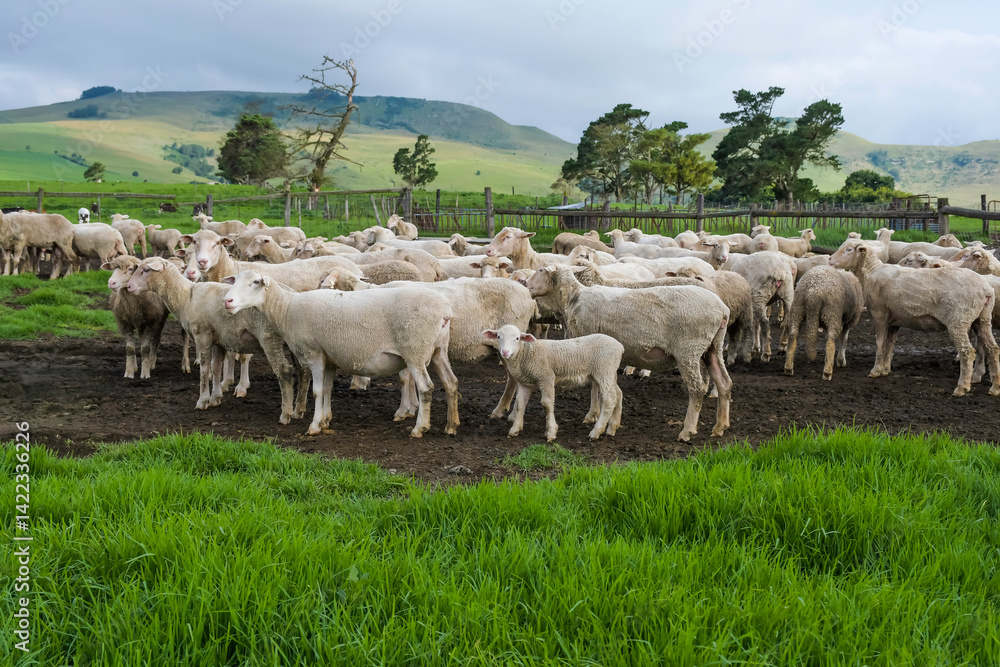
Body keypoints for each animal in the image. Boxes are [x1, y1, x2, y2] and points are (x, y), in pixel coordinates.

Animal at [126, 258, 308, 421]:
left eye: (146, 270)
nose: (128, 287)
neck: (186, 296)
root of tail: (292, 297)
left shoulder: (202, 335)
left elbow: (204, 370)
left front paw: (202, 401)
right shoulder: (217, 340)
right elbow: (216, 368)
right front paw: (216, 397)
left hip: (269, 338)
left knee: (284, 371)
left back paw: (286, 414)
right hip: (294, 342)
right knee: (304, 371)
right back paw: (299, 409)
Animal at [222, 269, 459, 437]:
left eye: (255, 282)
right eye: (234, 281)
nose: (227, 301)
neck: (286, 309)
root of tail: (445, 310)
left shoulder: (315, 355)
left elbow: (317, 391)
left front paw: (314, 426)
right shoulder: (329, 358)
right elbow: (327, 390)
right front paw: (325, 420)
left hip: (415, 351)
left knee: (426, 388)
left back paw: (419, 429)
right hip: (438, 350)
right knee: (451, 383)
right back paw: (451, 425)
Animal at [482, 325, 624, 441]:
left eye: (517, 338)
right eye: (499, 337)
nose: (505, 352)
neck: (526, 354)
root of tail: (619, 346)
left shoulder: (546, 377)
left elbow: (547, 404)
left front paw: (550, 432)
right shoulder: (525, 382)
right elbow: (520, 404)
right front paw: (514, 429)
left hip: (604, 370)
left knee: (609, 399)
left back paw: (596, 432)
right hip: (608, 374)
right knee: (618, 394)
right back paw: (612, 428)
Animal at [525, 264, 732, 441]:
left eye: (540, 270)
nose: (525, 283)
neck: (573, 299)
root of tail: (722, 308)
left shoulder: (590, 347)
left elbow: (594, 387)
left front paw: (592, 415)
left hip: (689, 350)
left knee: (697, 388)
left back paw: (687, 431)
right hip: (713, 347)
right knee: (724, 382)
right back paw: (720, 427)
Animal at [829, 238, 1000, 396]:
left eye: (849, 249)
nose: (830, 259)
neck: (871, 272)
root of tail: (986, 289)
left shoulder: (880, 314)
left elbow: (879, 343)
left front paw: (875, 370)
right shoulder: (895, 320)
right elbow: (889, 344)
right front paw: (885, 369)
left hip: (958, 320)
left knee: (967, 351)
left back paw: (962, 387)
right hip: (982, 320)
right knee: (993, 348)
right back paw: (994, 388)